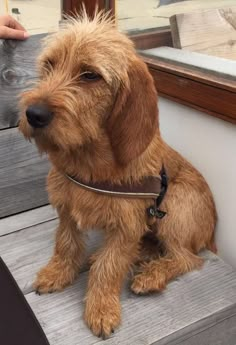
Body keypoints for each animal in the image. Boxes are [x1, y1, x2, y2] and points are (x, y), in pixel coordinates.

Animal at [19, 12, 217, 338]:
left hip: (174, 205)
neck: (89, 162)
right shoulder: (67, 212)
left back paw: (151, 276)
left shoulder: (126, 226)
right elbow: (66, 245)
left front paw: (101, 308)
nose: (34, 114)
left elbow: (108, 267)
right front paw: (58, 272)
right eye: (49, 64)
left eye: (90, 75)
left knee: (187, 257)